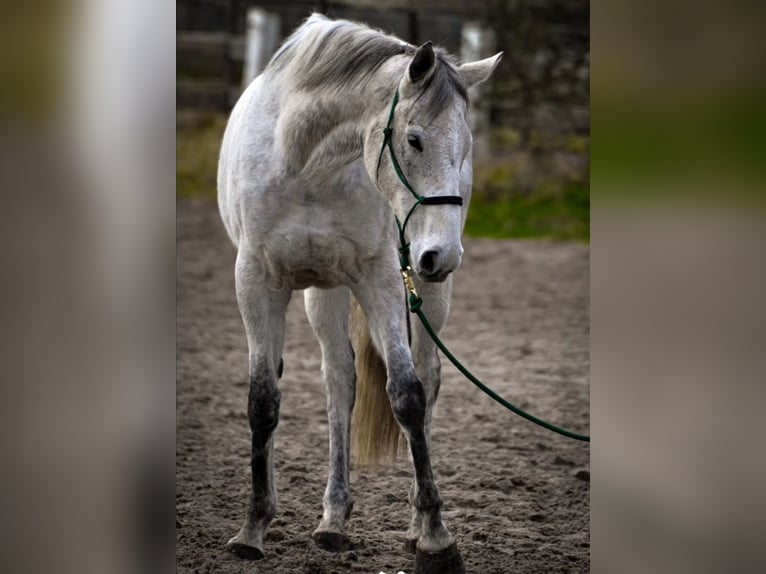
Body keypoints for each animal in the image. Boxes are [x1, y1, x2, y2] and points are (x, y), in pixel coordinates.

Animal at [217, 14, 501, 573]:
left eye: (465, 148)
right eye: (414, 140)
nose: (441, 255)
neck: (307, 163)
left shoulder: (381, 278)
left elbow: (408, 395)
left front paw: (436, 537)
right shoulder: (256, 281)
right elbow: (263, 400)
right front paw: (253, 528)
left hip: (424, 289)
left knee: (428, 377)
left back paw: (412, 525)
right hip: (323, 293)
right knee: (339, 382)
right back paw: (332, 520)